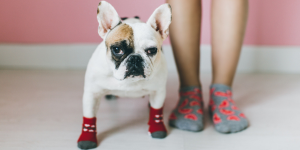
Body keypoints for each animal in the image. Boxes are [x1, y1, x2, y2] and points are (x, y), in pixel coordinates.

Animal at [77, 1, 171, 149]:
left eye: (152, 50)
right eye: (117, 49)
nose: (135, 58)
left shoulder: (158, 92)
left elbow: (157, 109)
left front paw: (157, 128)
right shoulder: (92, 94)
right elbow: (89, 116)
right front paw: (87, 138)